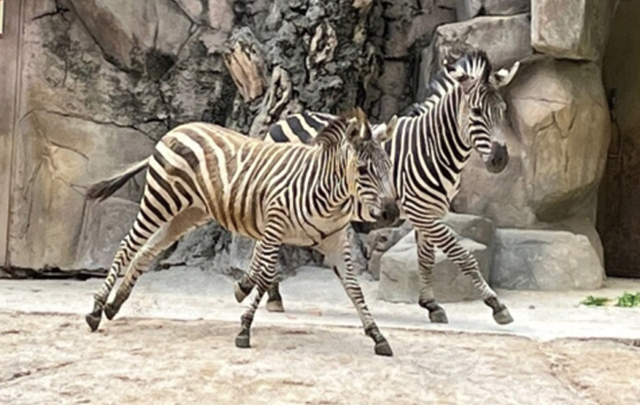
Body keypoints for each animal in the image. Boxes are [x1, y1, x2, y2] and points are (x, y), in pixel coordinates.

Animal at [83, 106, 400, 354]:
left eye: (388, 166)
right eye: (362, 170)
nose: (392, 212)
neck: (327, 194)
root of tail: (177, 130)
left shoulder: (335, 241)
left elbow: (354, 289)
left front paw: (377, 335)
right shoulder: (274, 227)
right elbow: (264, 277)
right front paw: (245, 329)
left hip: (187, 214)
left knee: (147, 251)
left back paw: (114, 305)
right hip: (160, 200)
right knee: (127, 245)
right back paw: (96, 310)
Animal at [239, 50, 520, 326]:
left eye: (502, 110)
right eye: (476, 112)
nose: (500, 160)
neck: (433, 147)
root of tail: (281, 121)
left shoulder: (430, 212)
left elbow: (426, 258)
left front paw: (431, 305)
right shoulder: (420, 211)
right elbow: (461, 254)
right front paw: (496, 305)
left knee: (265, 241)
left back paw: (256, 287)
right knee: (266, 242)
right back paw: (266, 292)